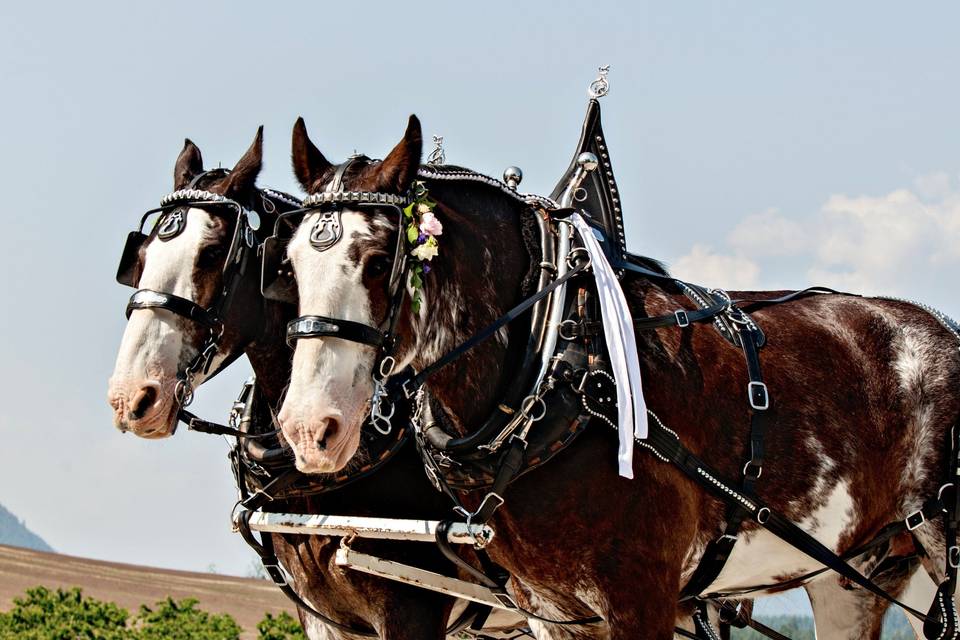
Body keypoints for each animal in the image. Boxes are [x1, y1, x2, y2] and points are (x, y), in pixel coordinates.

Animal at [278, 116, 960, 640]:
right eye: (288, 266)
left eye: (376, 262)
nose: (310, 429)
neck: (561, 371)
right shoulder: (553, 610)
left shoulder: (642, 598)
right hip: (854, 578)